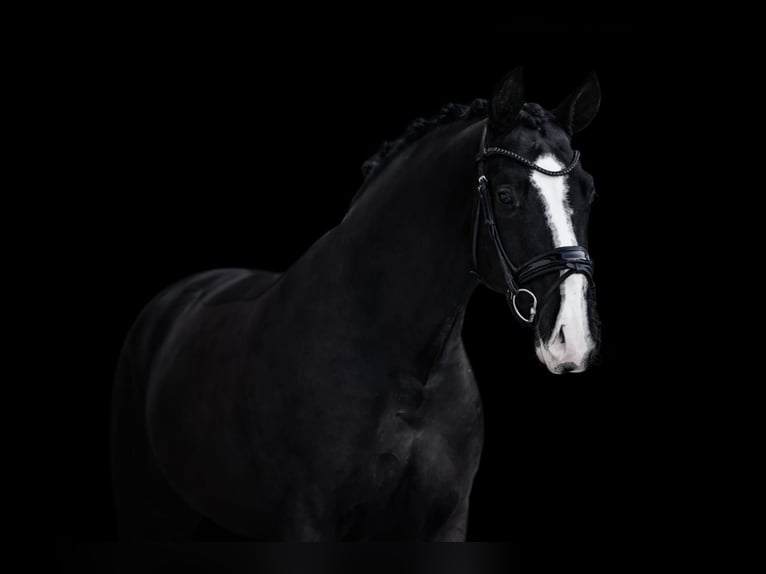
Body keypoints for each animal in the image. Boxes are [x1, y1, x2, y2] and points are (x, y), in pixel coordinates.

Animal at [110, 68, 601, 541]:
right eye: (505, 195)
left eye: (588, 191)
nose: (573, 338)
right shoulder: (308, 523)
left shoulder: (446, 522)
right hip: (150, 503)